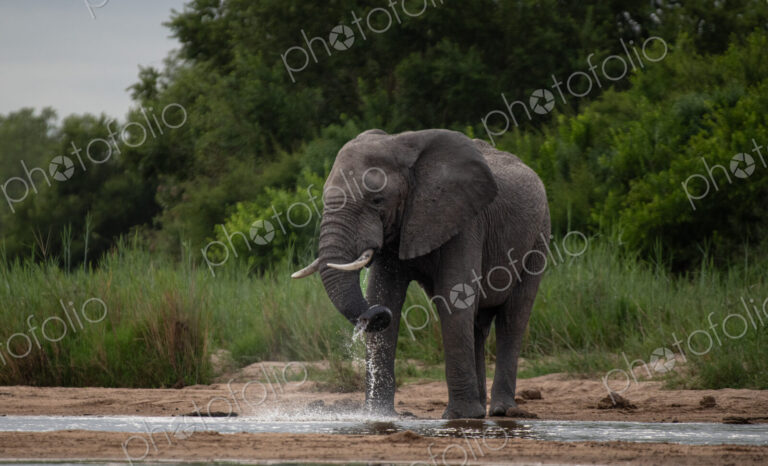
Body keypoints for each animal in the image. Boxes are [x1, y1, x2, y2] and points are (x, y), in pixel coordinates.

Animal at [292, 129, 550, 419]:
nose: (374, 315)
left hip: (538, 236)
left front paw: (458, 417)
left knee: (512, 318)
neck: (401, 145)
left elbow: (455, 296)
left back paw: (500, 412)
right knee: (477, 325)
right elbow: (385, 295)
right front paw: (380, 416)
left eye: (377, 200)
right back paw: (481, 411)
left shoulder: (465, 219)